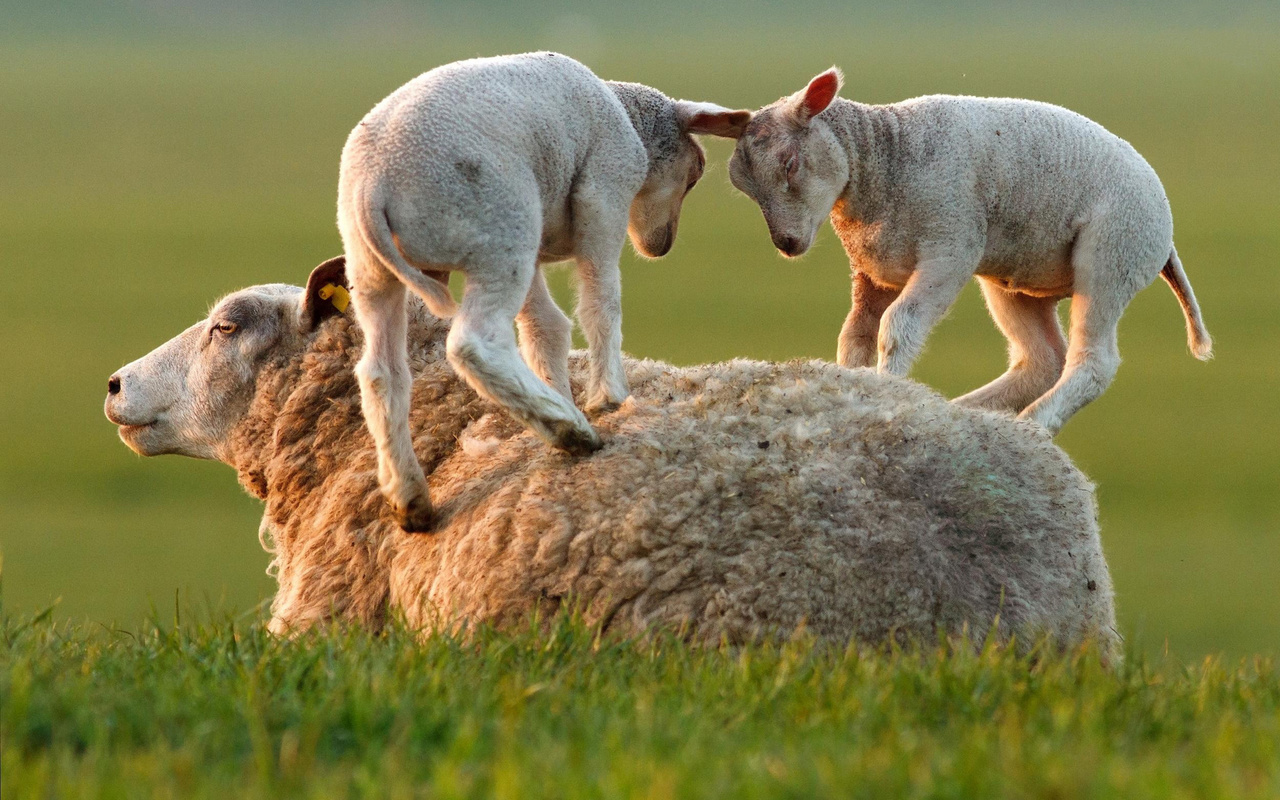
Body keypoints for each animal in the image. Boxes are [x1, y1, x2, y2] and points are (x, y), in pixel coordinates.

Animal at [340, 53, 747, 532]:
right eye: (696, 172)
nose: (660, 246)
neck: (629, 115)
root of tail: (373, 189)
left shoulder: (538, 247)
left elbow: (544, 327)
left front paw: (558, 389)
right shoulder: (603, 190)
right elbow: (601, 301)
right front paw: (609, 396)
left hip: (371, 269)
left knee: (381, 372)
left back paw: (410, 496)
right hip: (500, 228)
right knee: (474, 344)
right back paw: (570, 430)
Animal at [696, 66, 1213, 432]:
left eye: (789, 164)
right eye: (743, 187)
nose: (787, 245)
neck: (886, 159)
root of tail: (1166, 230)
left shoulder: (950, 249)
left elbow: (897, 327)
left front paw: (890, 391)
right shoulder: (872, 271)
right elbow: (855, 337)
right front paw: (858, 391)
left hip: (1113, 252)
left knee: (1093, 362)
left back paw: (1034, 425)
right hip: (1017, 280)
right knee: (1042, 361)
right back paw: (968, 412)